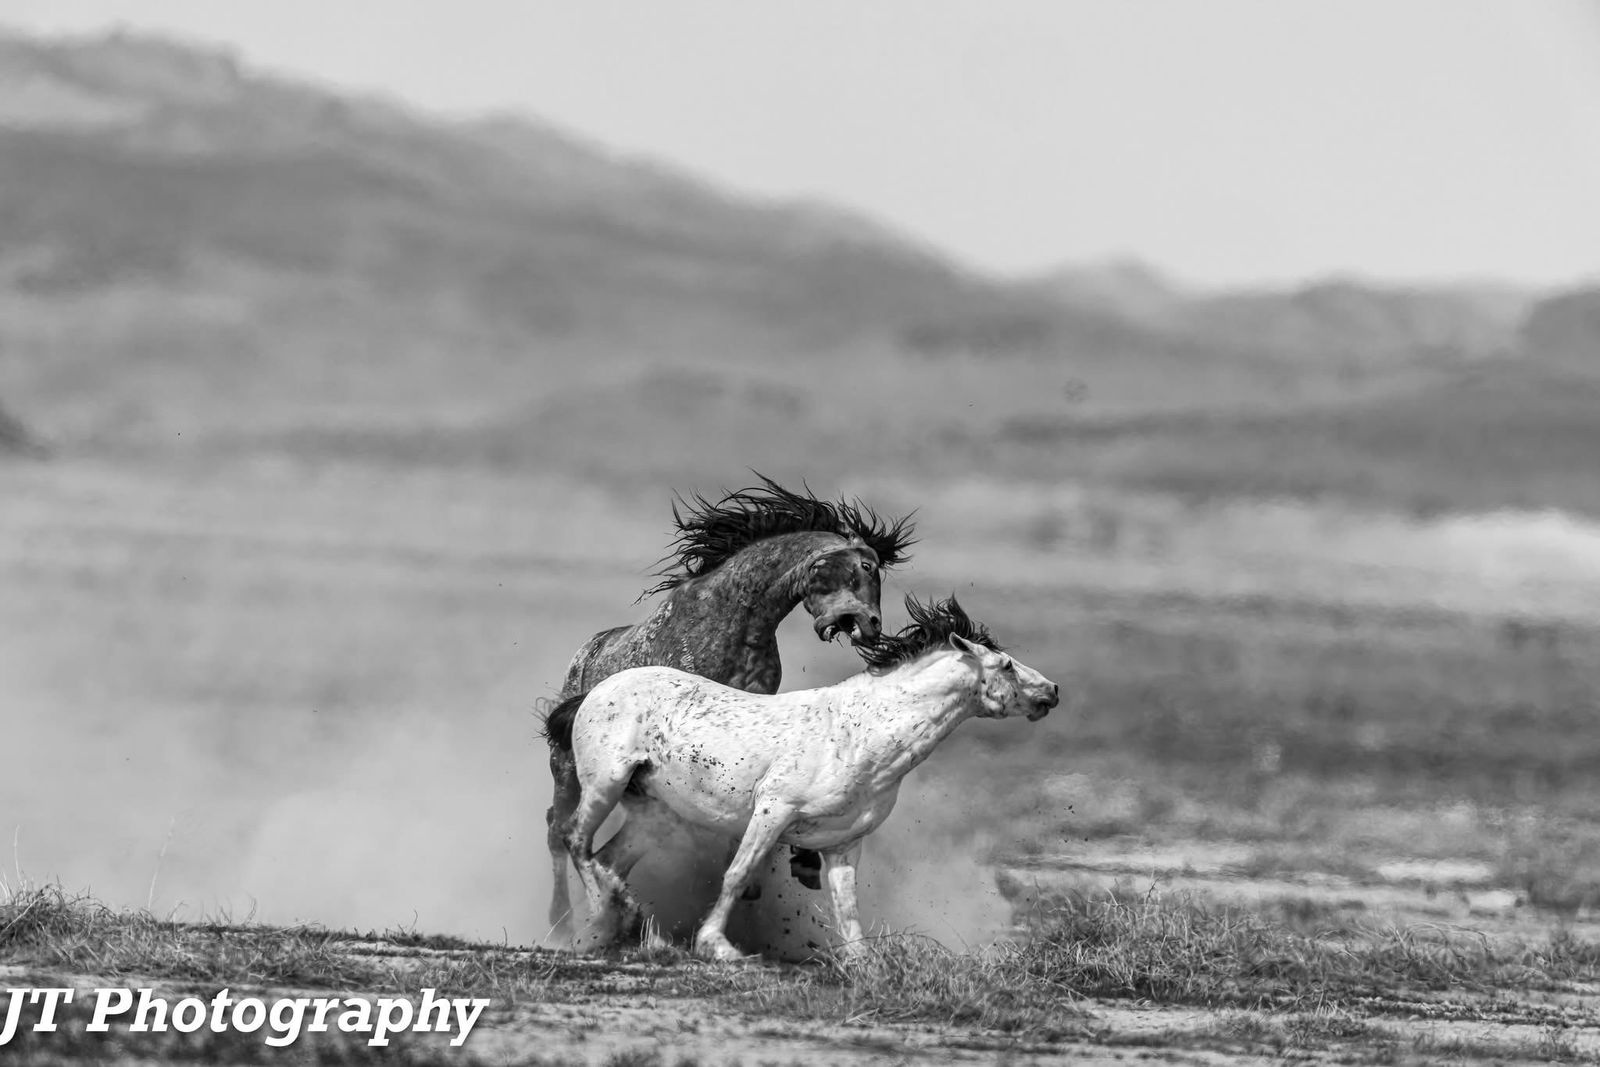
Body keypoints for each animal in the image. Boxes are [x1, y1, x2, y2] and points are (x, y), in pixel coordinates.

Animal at [543, 476, 916, 950]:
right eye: (866, 566)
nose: (872, 626)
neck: (734, 623)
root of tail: (584, 655)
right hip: (568, 768)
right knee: (558, 832)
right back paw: (563, 924)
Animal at [546, 595, 1060, 960]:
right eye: (1006, 664)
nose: (1052, 690)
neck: (859, 735)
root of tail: (595, 691)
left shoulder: (842, 843)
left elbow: (848, 911)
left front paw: (864, 965)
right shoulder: (773, 813)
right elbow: (737, 874)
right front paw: (718, 947)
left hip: (654, 815)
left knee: (607, 858)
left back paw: (617, 926)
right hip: (605, 784)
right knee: (574, 839)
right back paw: (610, 917)